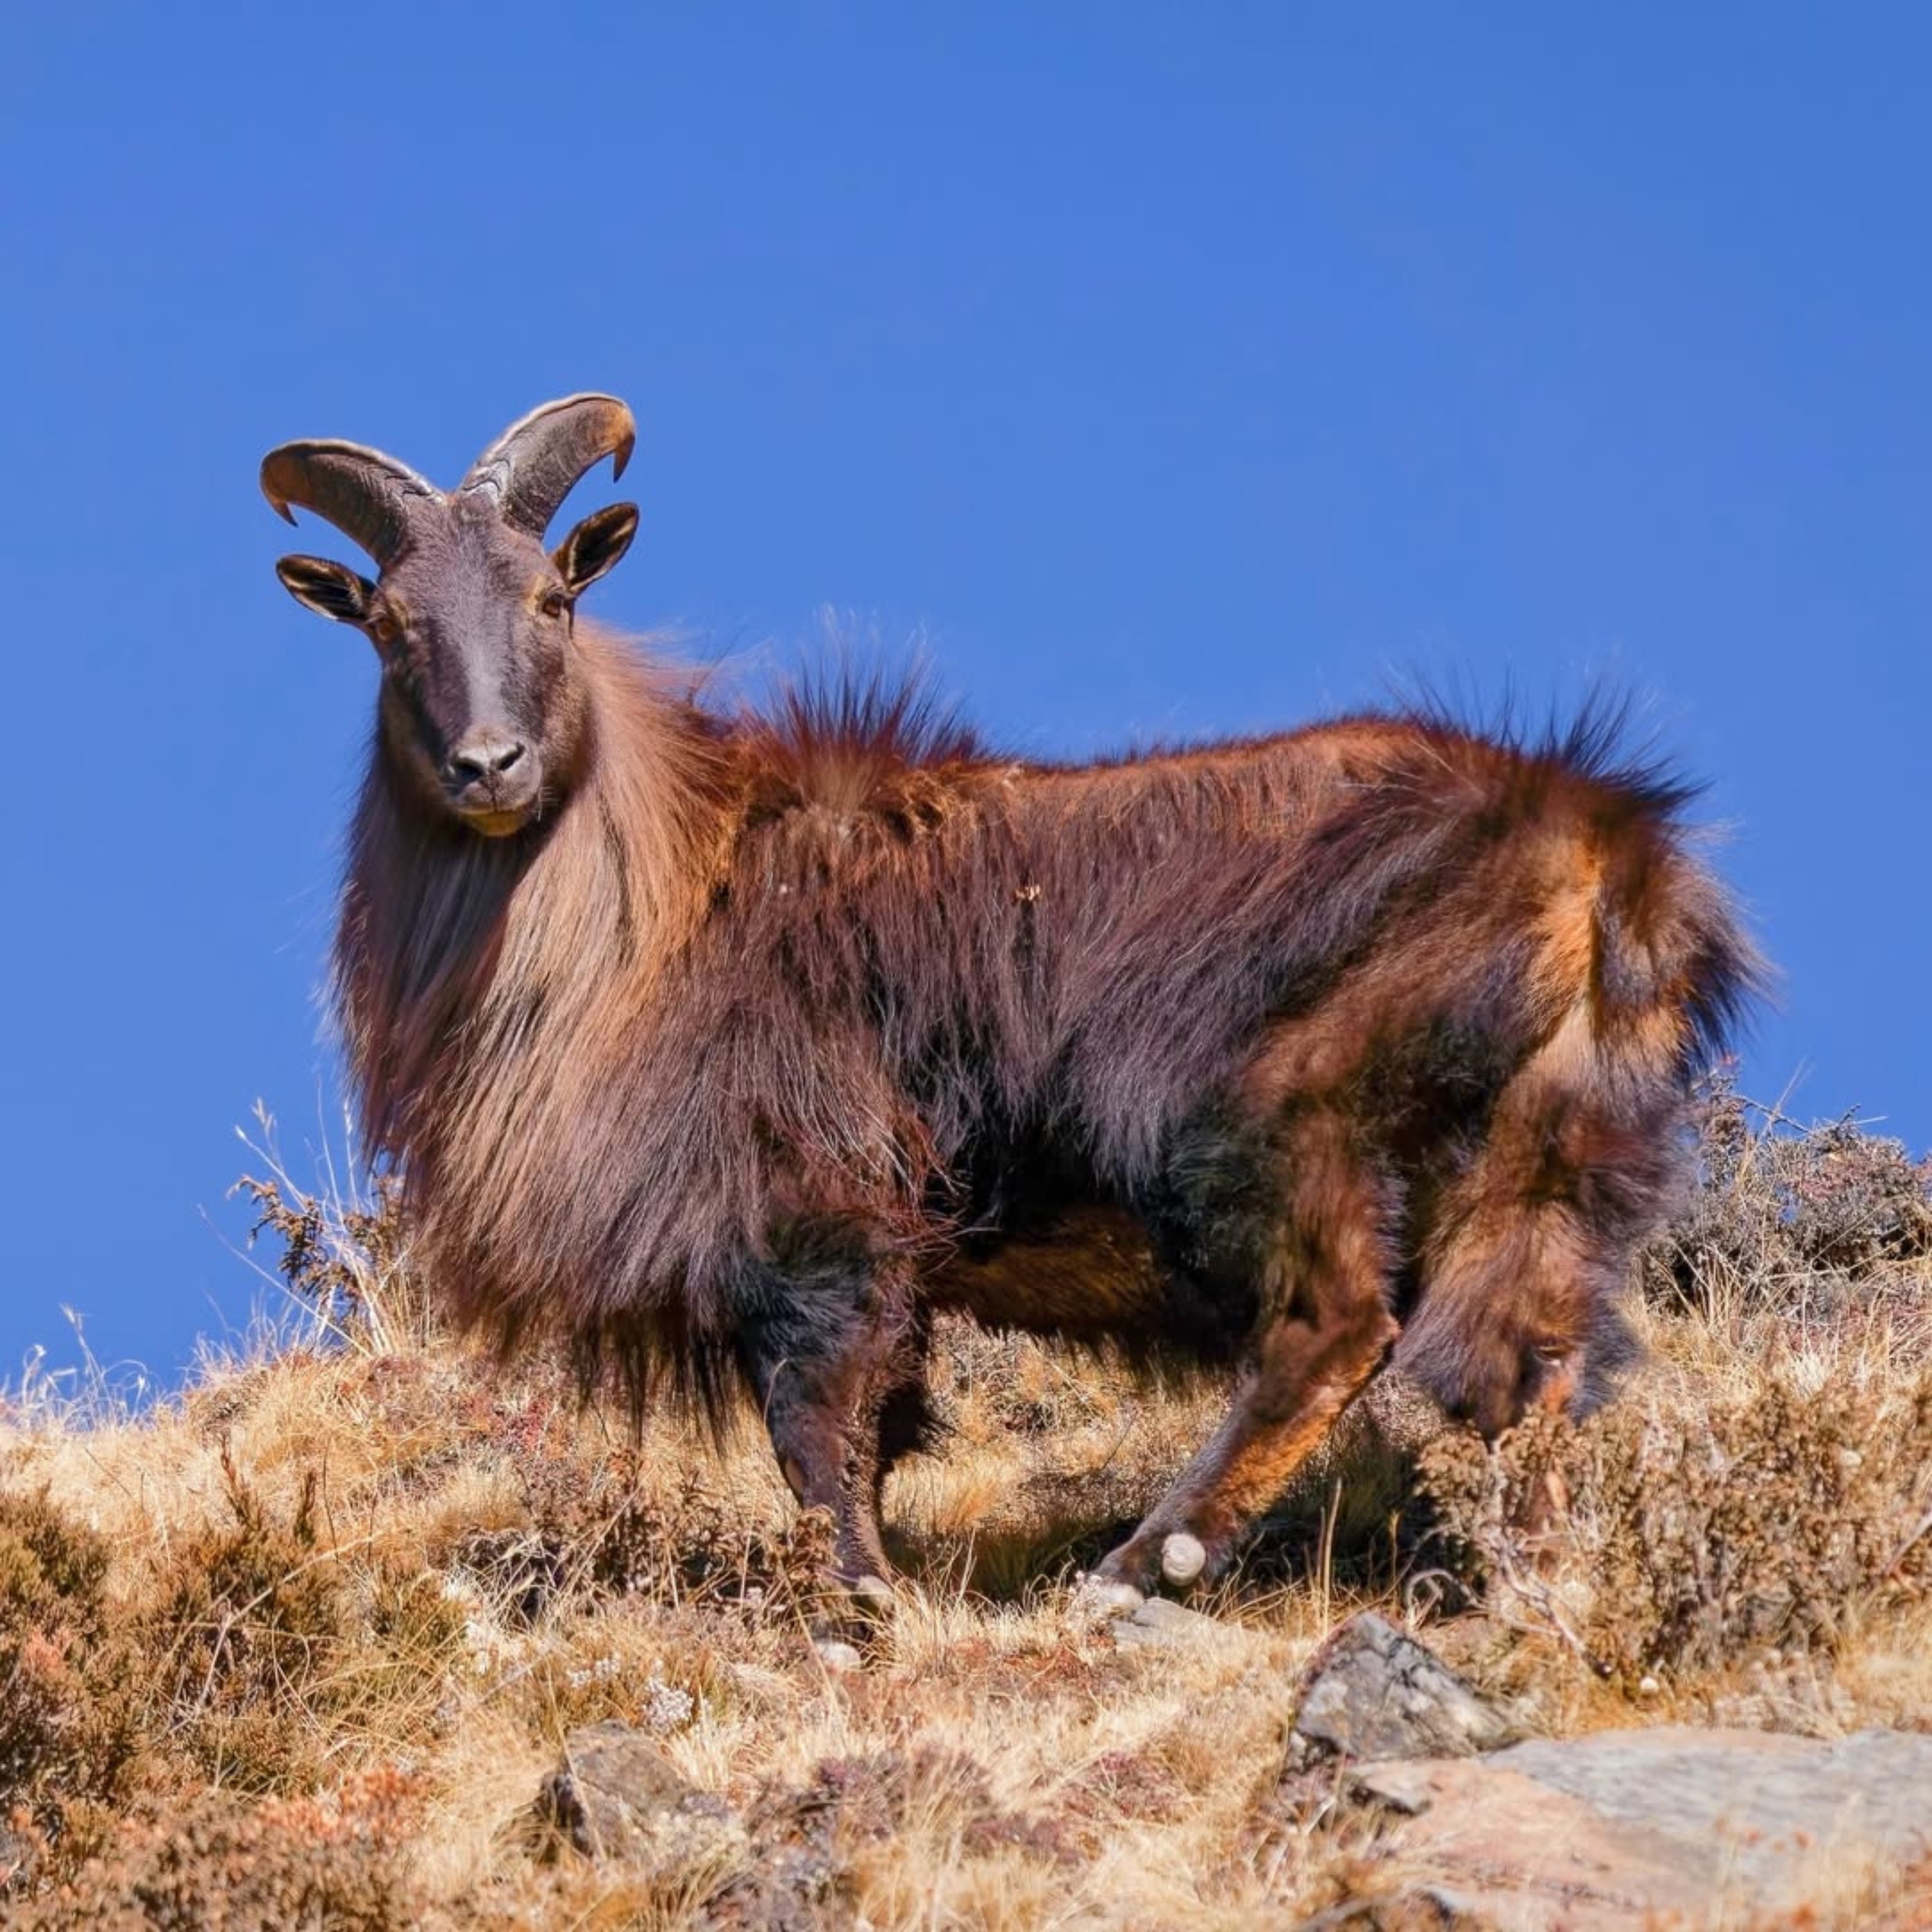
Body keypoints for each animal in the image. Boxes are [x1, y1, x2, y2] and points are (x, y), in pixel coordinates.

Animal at [263, 394, 1756, 1605]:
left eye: (552, 601)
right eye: (390, 625)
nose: (488, 765)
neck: (662, 903)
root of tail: (1602, 850)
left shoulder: (818, 1208)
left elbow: (820, 1426)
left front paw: (861, 1607)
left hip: (1279, 1114)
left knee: (1332, 1325)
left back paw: (1141, 1566)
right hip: (1544, 1155)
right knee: (1531, 1369)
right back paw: (1522, 1578)